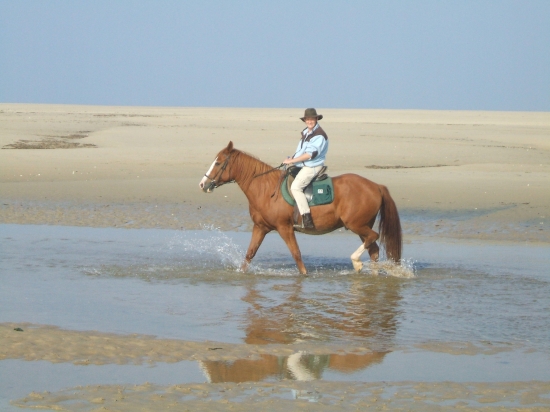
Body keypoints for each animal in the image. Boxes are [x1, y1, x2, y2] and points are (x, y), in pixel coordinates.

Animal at [201, 143, 404, 276]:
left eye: (218, 163)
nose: (203, 184)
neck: (266, 189)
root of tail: (376, 186)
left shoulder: (284, 228)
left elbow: (297, 255)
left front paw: (304, 276)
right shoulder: (261, 227)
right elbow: (249, 254)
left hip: (356, 225)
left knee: (373, 237)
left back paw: (356, 262)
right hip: (361, 226)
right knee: (373, 249)